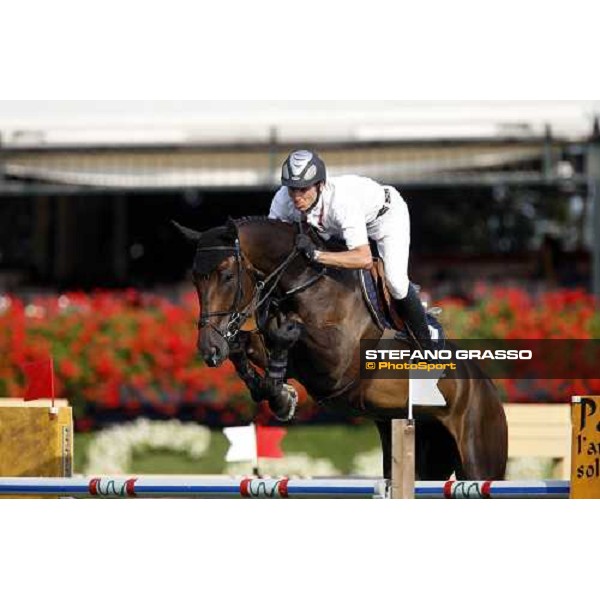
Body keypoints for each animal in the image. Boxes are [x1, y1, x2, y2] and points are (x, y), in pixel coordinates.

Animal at [177, 218, 506, 480]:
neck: (305, 284)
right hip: (423, 447)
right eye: (194, 279)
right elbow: (246, 345)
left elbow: (285, 335)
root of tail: (489, 389)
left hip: (478, 458)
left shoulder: (336, 363)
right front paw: (279, 394)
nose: (208, 349)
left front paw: (281, 391)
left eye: (227, 275)